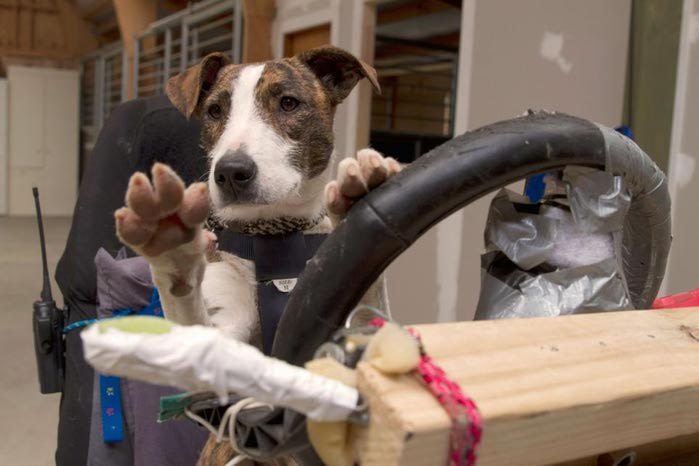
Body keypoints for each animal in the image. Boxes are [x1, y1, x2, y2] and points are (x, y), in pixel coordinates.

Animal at [113, 45, 402, 464]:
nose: (231, 172)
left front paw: (358, 193)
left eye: (288, 103)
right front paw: (173, 245)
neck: (273, 239)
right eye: (215, 110)